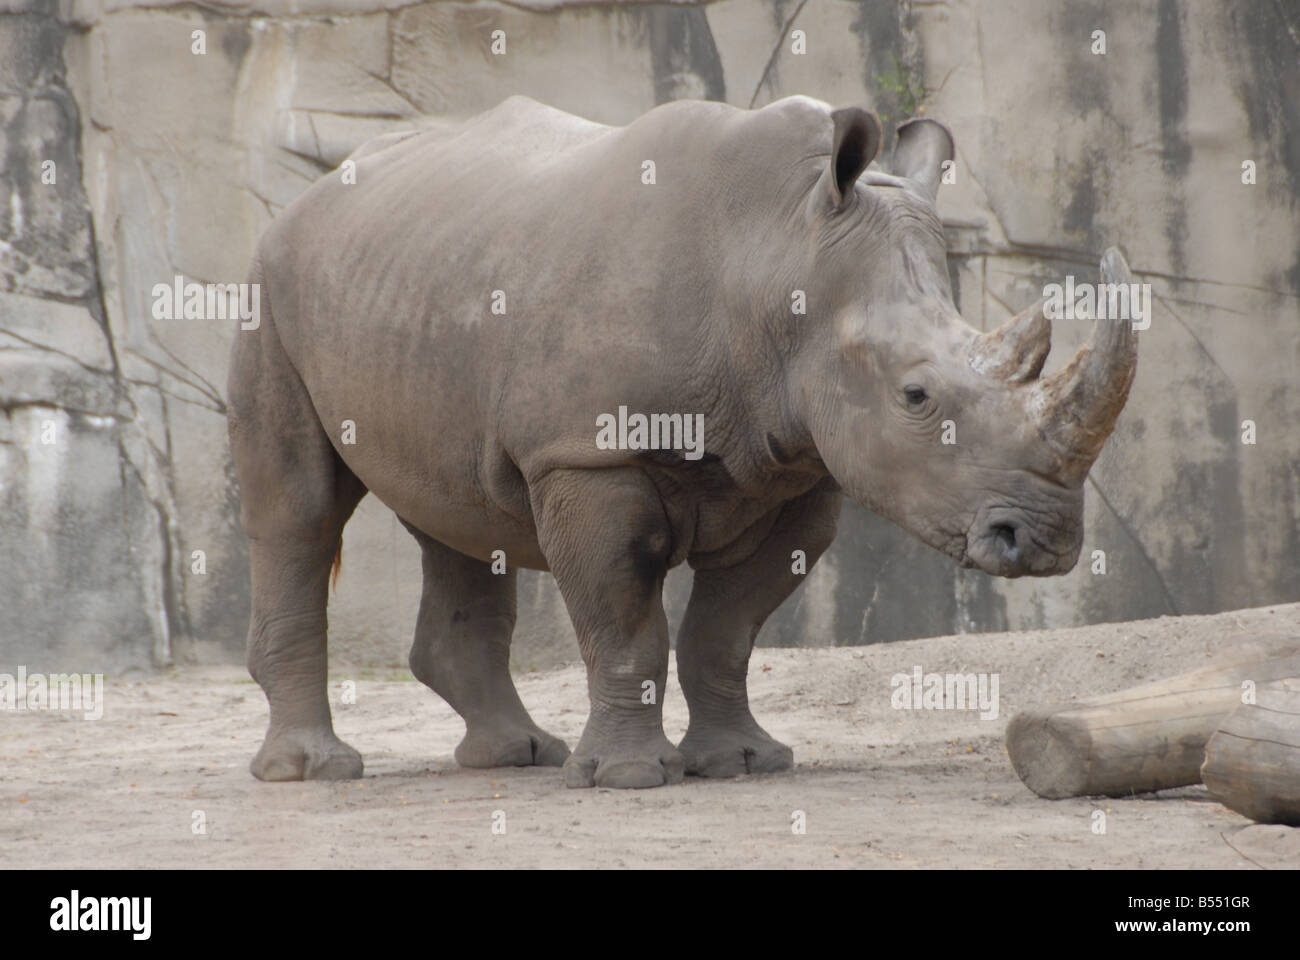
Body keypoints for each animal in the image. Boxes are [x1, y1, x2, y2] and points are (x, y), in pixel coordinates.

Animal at [228, 95, 1137, 788]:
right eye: (917, 396)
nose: (1045, 541)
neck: (780, 256)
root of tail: (316, 193)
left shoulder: (797, 464)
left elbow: (726, 630)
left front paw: (744, 763)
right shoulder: (588, 453)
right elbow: (626, 620)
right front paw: (628, 778)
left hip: (421, 280)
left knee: (457, 510)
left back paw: (515, 757)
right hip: (273, 282)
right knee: (300, 510)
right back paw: (313, 770)